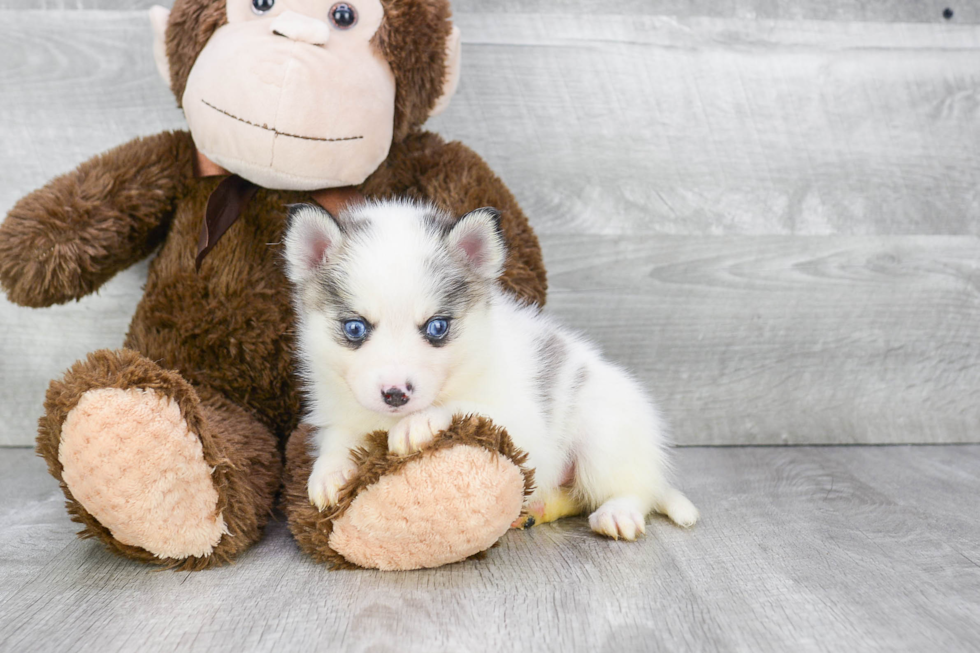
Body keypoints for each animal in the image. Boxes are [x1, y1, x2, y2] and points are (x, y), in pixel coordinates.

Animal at [282, 199, 696, 540]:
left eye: (437, 327)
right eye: (355, 328)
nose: (396, 394)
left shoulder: (521, 421)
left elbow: (466, 409)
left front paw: (420, 422)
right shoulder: (342, 410)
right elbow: (338, 436)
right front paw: (329, 472)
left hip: (603, 437)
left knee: (634, 488)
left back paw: (619, 512)